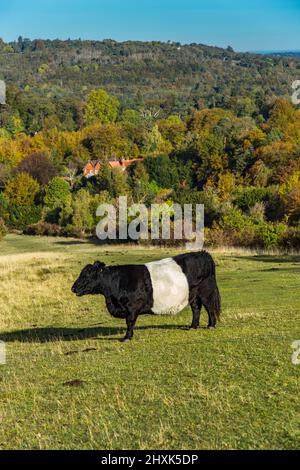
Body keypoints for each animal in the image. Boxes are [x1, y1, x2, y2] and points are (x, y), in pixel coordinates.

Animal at [70, 253, 220, 342]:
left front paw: (126, 338)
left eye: (87, 275)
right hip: (193, 294)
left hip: (206, 291)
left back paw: (211, 325)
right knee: (196, 308)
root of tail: (203, 253)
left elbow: (130, 322)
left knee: (209, 307)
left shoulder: (132, 307)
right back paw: (193, 326)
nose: (73, 288)